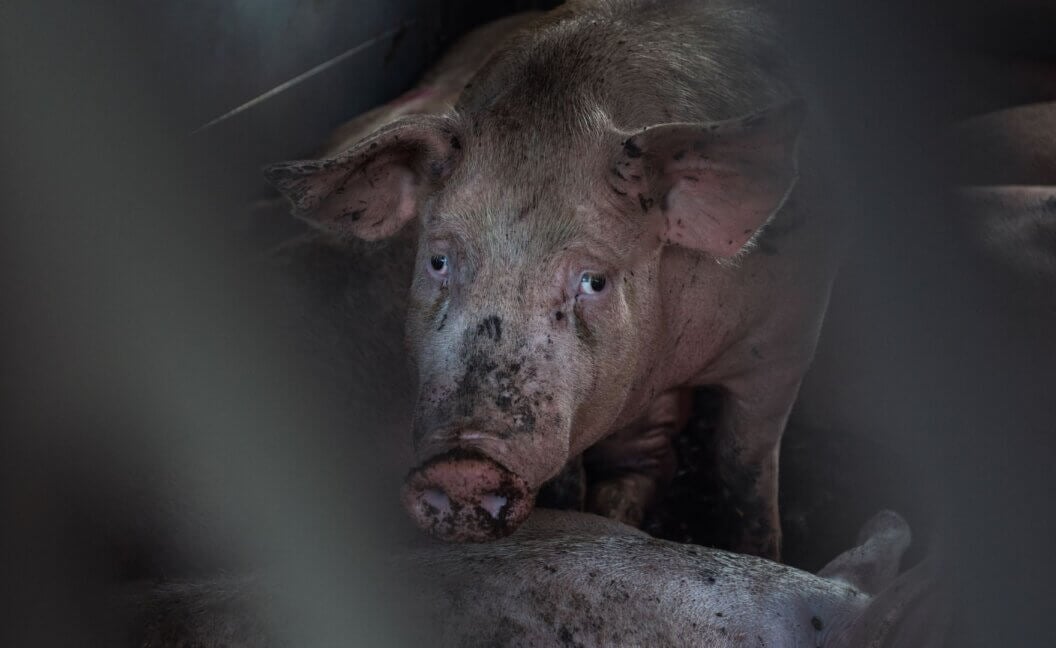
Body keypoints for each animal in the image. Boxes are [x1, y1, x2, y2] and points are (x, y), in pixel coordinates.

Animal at [267, 0, 844, 557]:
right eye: (438, 262)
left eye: (594, 281)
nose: (463, 464)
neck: (666, 357)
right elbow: (569, 481)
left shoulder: (785, 338)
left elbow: (743, 469)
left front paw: (762, 552)